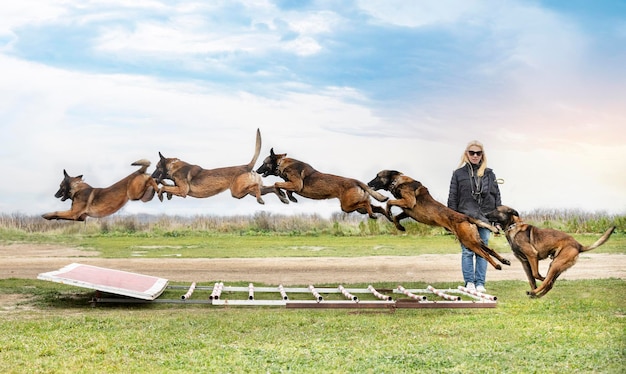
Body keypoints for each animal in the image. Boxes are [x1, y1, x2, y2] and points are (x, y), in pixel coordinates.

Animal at [151, 129, 288, 205]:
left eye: (157, 167)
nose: (151, 177)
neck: (172, 166)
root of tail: (247, 166)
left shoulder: (183, 191)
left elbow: (164, 187)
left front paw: (161, 194)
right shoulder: (179, 188)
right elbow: (168, 186)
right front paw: (168, 195)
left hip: (237, 192)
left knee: (255, 187)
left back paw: (262, 200)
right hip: (249, 191)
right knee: (271, 188)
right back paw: (283, 197)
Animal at [366, 171, 508, 270]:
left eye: (378, 176)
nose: (368, 184)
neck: (398, 181)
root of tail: (466, 217)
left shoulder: (409, 202)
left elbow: (389, 202)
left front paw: (389, 212)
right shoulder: (407, 211)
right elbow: (396, 216)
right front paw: (399, 226)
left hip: (469, 241)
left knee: (485, 254)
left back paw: (497, 265)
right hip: (475, 239)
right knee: (490, 250)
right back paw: (504, 261)